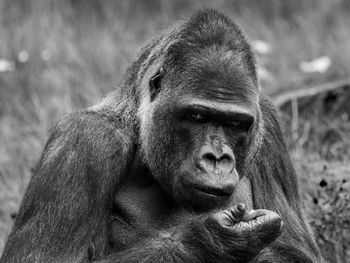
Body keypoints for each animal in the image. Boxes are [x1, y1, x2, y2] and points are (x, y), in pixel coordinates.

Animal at [0, 9, 322, 262]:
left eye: (235, 123)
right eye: (197, 116)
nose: (217, 158)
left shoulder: (268, 124)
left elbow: (297, 254)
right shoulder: (85, 140)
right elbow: (48, 258)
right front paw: (212, 240)